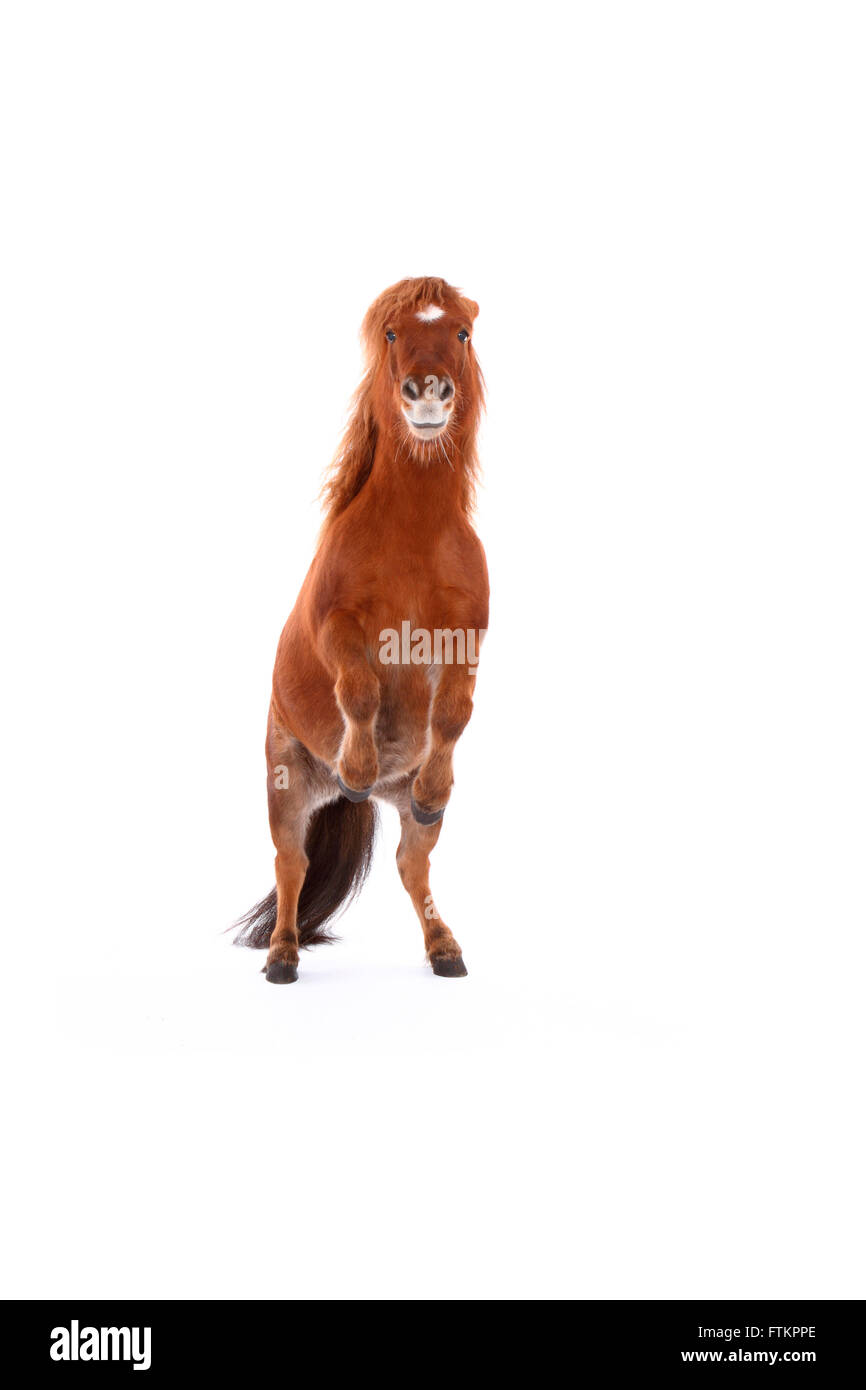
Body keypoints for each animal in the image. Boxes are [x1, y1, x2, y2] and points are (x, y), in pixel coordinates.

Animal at [234, 276, 488, 983]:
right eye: (393, 333)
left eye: (462, 332)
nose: (427, 392)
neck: (412, 540)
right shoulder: (336, 626)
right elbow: (360, 689)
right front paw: (356, 764)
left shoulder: (465, 635)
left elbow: (452, 712)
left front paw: (434, 786)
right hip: (286, 786)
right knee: (291, 865)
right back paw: (282, 955)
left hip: (403, 816)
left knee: (411, 864)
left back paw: (444, 948)